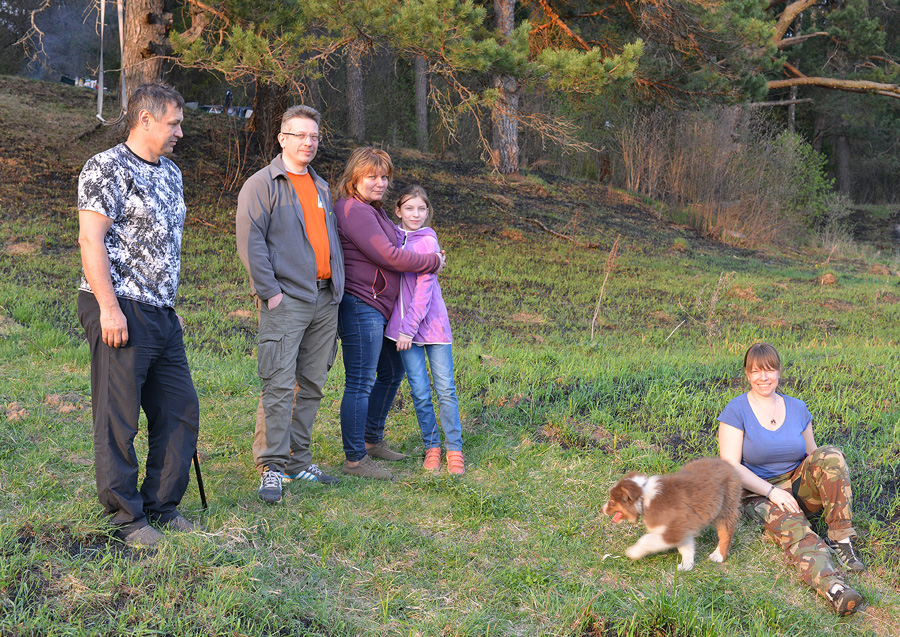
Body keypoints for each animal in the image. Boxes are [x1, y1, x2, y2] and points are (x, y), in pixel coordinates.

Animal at [601, 457, 741, 571]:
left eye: (612, 501)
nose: (602, 509)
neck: (644, 497)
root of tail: (728, 464)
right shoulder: (683, 526)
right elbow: (686, 547)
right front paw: (686, 565)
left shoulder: (674, 530)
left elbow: (646, 540)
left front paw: (633, 552)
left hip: (726, 506)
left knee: (726, 532)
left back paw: (718, 555)